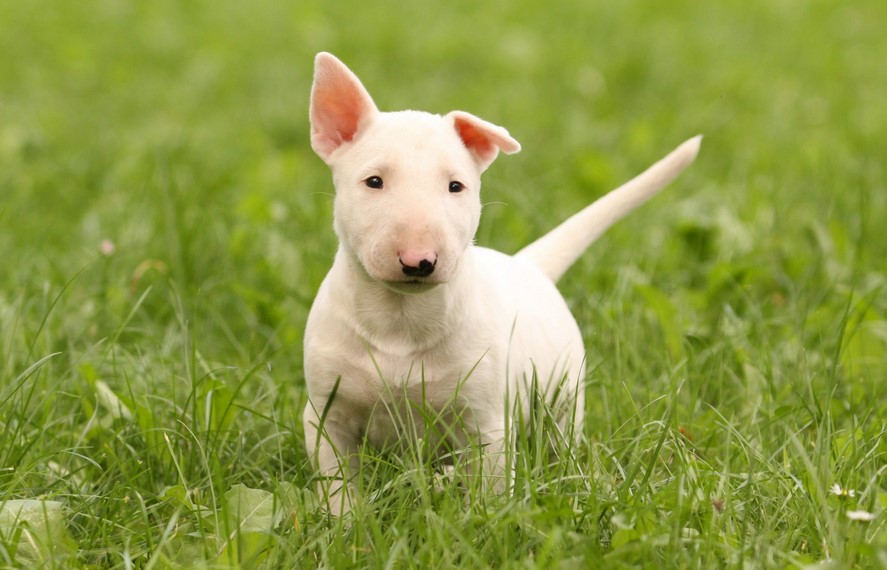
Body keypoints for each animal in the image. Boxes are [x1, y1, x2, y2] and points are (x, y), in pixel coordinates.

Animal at [306, 53, 700, 512]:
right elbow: (337, 483)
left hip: (564, 399)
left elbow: (492, 487)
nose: (419, 261)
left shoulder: (487, 422)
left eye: (456, 185)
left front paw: (487, 520)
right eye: (373, 181)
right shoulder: (325, 416)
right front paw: (343, 523)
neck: (399, 319)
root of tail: (527, 265)